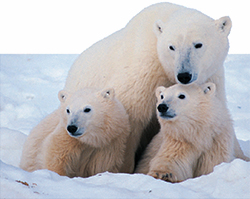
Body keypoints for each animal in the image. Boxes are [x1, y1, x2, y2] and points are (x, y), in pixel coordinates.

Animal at [28, 2, 237, 172]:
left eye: (198, 44)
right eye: (171, 47)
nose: (184, 75)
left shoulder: (211, 76)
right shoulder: (144, 71)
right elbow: (131, 119)